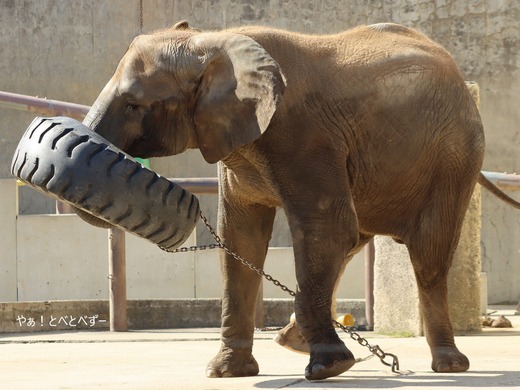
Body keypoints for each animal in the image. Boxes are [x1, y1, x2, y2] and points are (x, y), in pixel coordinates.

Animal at [79, 22, 516, 380]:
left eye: (134, 104)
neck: (213, 39)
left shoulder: (303, 134)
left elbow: (325, 230)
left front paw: (327, 368)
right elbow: (241, 240)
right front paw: (225, 372)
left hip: (454, 155)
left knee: (427, 253)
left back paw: (449, 365)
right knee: (355, 241)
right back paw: (293, 341)